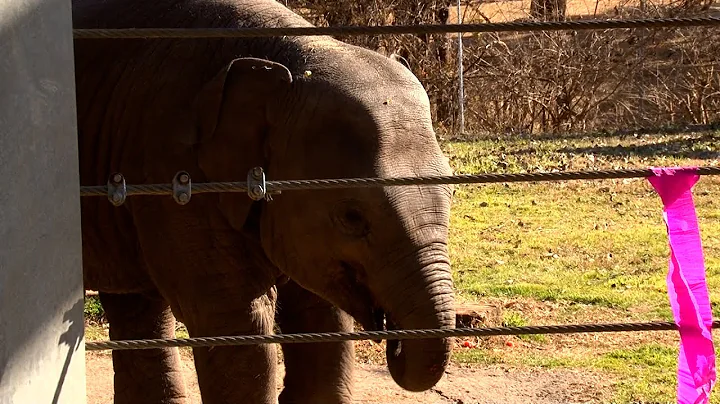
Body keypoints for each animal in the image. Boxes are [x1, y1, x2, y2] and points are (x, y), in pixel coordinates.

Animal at [72, 0, 456, 403]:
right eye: (352, 216)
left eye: (451, 192)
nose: (394, 342)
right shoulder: (173, 171)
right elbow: (237, 321)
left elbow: (322, 316)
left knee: (134, 301)